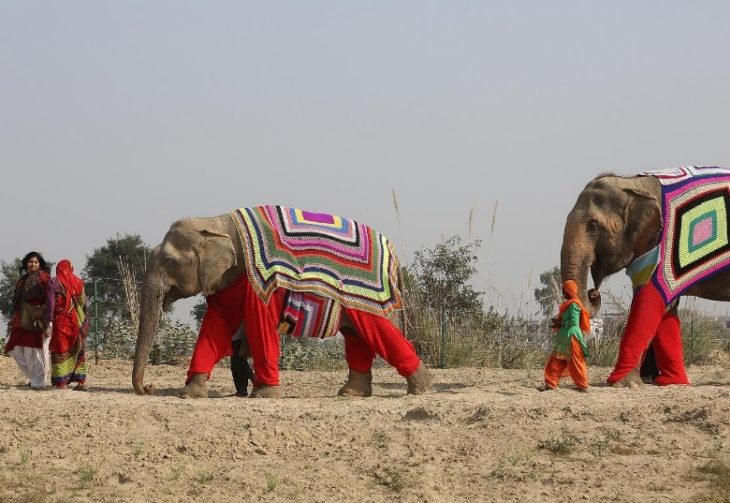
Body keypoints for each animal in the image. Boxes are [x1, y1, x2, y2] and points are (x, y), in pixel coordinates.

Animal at [132, 205, 432, 398]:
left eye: (168, 261)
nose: (149, 388)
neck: (217, 221)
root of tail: (394, 253)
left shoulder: (264, 281)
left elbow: (259, 322)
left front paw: (264, 394)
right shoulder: (226, 279)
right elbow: (217, 323)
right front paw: (191, 393)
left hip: (369, 294)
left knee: (377, 329)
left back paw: (420, 389)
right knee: (357, 334)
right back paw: (350, 394)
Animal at [560, 167, 728, 388]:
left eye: (593, 225)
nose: (594, 292)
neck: (634, 184)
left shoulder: (663, 246)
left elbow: (649, 300)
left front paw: (621, 383)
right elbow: (666, 305)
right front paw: (671, 382)